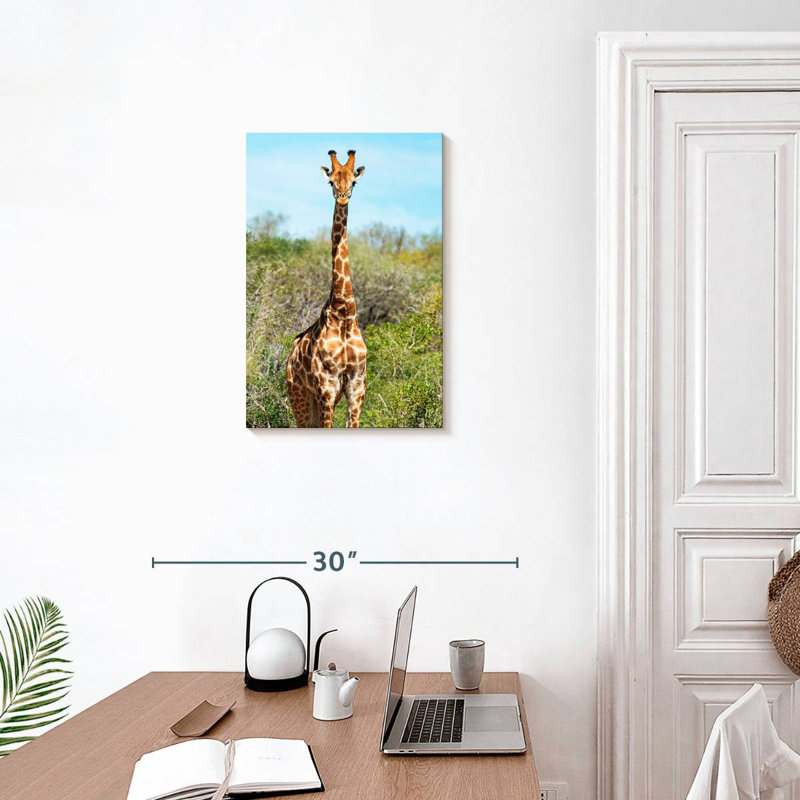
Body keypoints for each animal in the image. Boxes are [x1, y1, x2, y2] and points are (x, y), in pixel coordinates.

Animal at [286, 149, 367, 428]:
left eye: (354, 182)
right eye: (331, 181)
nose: (342, 198)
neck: (344, 311)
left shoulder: (357, 385)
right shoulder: (327, 386)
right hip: (299, 396)